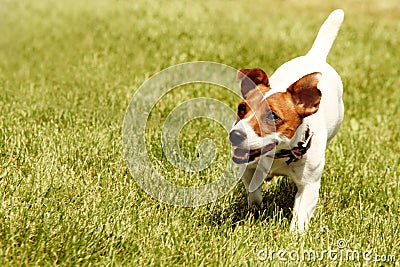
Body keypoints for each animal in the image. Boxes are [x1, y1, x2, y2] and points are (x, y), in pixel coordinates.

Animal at [228, 9, 344, 231]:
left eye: (273, 116)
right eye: (241, 108)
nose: (234, 135)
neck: (278, 156)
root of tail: (314, 56)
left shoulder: (309, 186)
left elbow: (301, 214)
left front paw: (295, 234)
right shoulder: (248, 169)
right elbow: (254, 193)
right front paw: (256, 211)